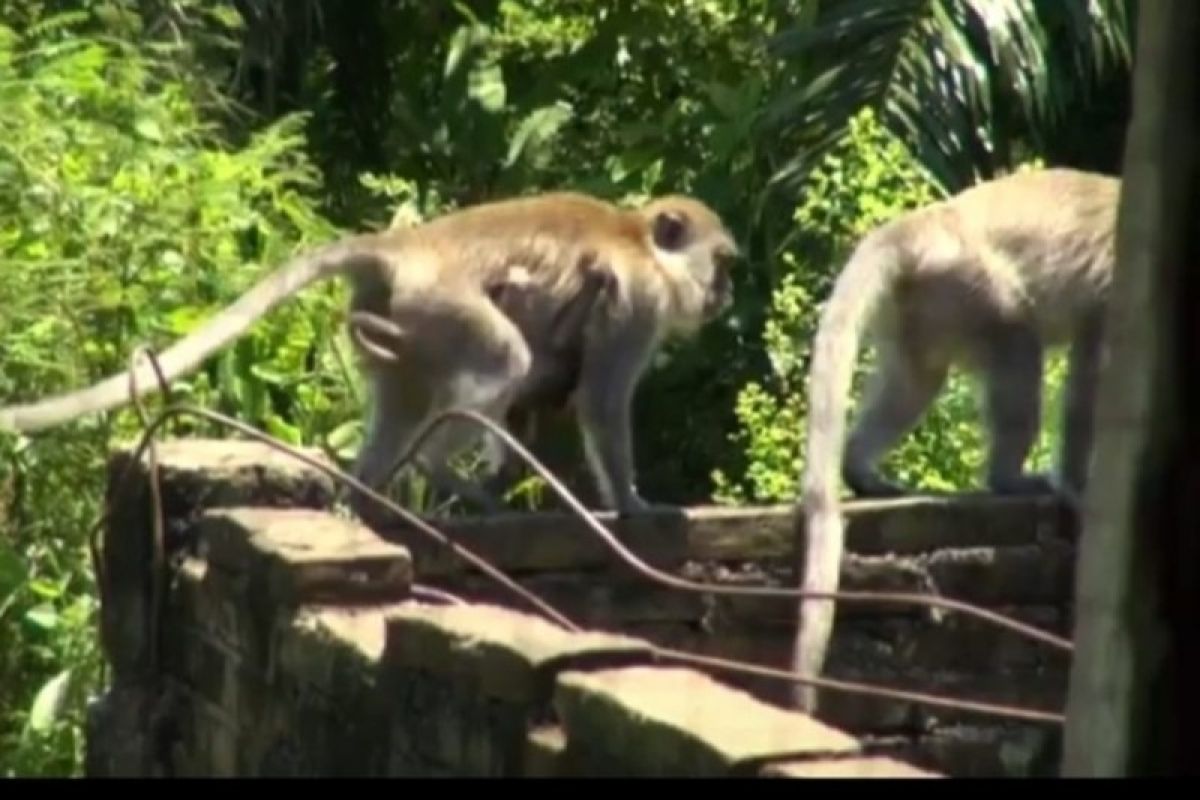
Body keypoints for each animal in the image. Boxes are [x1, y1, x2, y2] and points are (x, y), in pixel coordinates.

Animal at [0, 190, 734, 522]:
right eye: (722, 262)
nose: (724, 293)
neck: (641, 245)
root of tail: (404, 246)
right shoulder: (638, 306)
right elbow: (602, 401)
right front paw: (635, 505)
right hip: (444, 305)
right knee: (504, 361)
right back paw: (435, 470)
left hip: (408, 318)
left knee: (406, 399)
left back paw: (370, 490)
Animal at [792, 169, 1118, 714]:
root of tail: (925, 222)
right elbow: (1094, 361)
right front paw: (1076, 485)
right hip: (963, 281)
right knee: (1016, 342)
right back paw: (1007, 478)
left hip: (924, 302)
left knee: (918, 378)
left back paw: (861, 471)